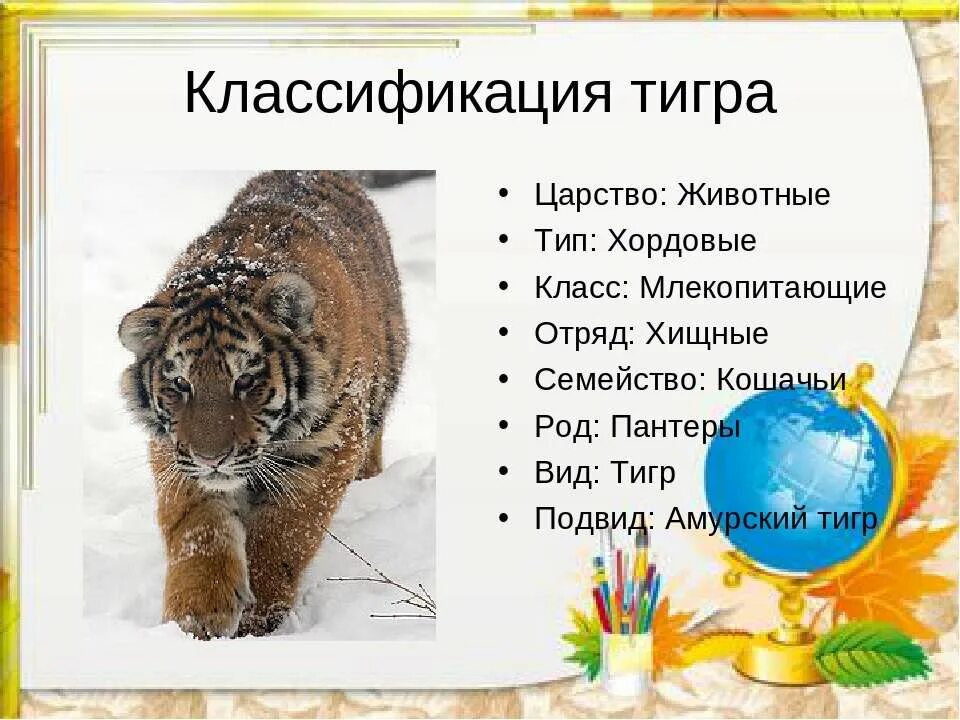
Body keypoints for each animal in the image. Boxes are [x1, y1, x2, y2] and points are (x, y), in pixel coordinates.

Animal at [118, 170, 408, 639]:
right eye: (180, 384)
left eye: (246, 381)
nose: (211, 458)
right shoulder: (175, 455)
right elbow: (198, 531)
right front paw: (196, 617)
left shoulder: (328, 447)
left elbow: (283, 535)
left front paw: (259, 620)